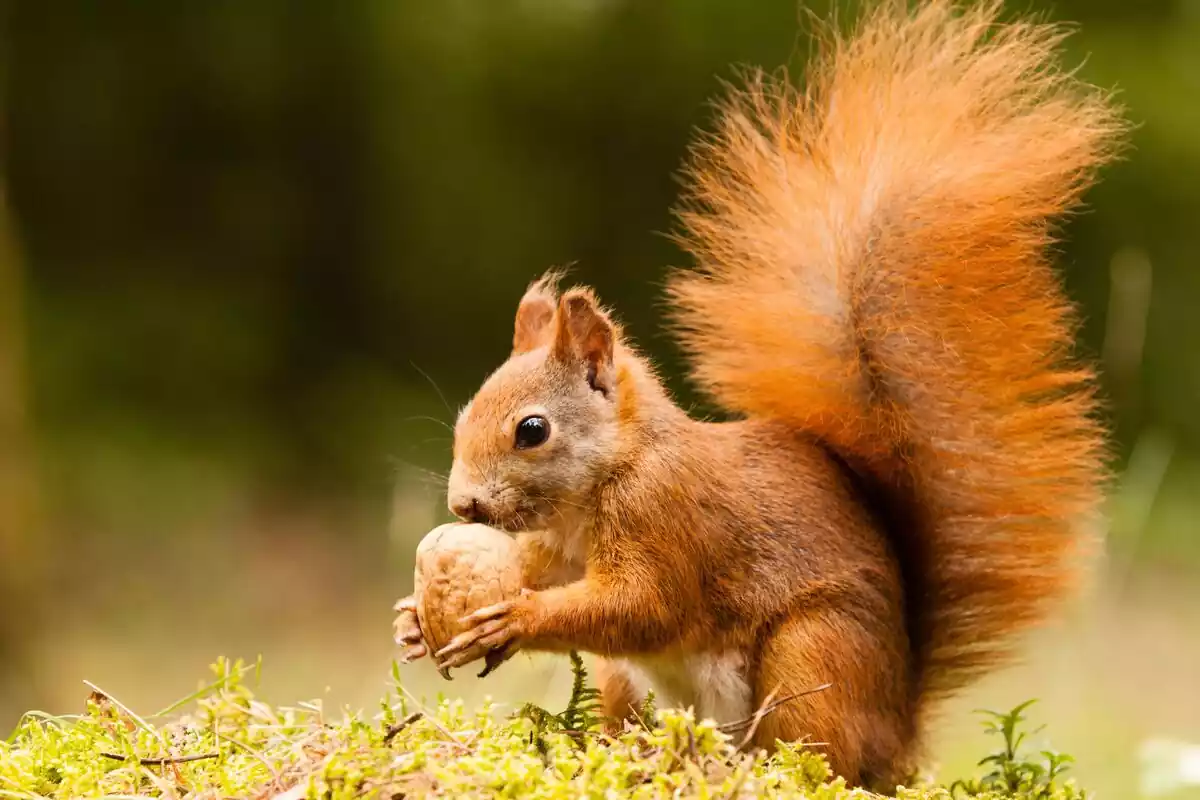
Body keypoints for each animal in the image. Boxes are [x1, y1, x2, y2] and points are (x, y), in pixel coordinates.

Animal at [391, 0, 1123, 786]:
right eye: (464, 416)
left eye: (532, 430)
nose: (463, 505)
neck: (605, 480)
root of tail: (897, 730)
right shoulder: (557, 548)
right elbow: (540, 573)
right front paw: (413, 618)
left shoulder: (666, 518)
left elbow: (643, 606)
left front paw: (517, 619)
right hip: (634, 683)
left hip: (814, 654)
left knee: (815, 754)